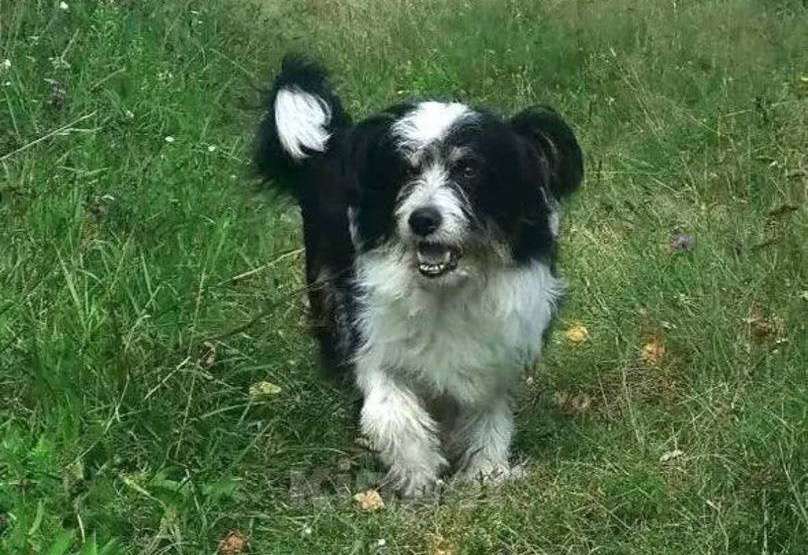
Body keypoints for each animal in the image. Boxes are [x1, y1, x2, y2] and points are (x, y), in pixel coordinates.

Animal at [254, 55, 583, 497]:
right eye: (405, 171)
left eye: (468, 169)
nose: (423, 219)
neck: (447, 287)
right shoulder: (370, 335)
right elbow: (394, 413)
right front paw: (418, 474)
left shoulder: (499, 345)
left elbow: (489, 413)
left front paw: (486, 471)